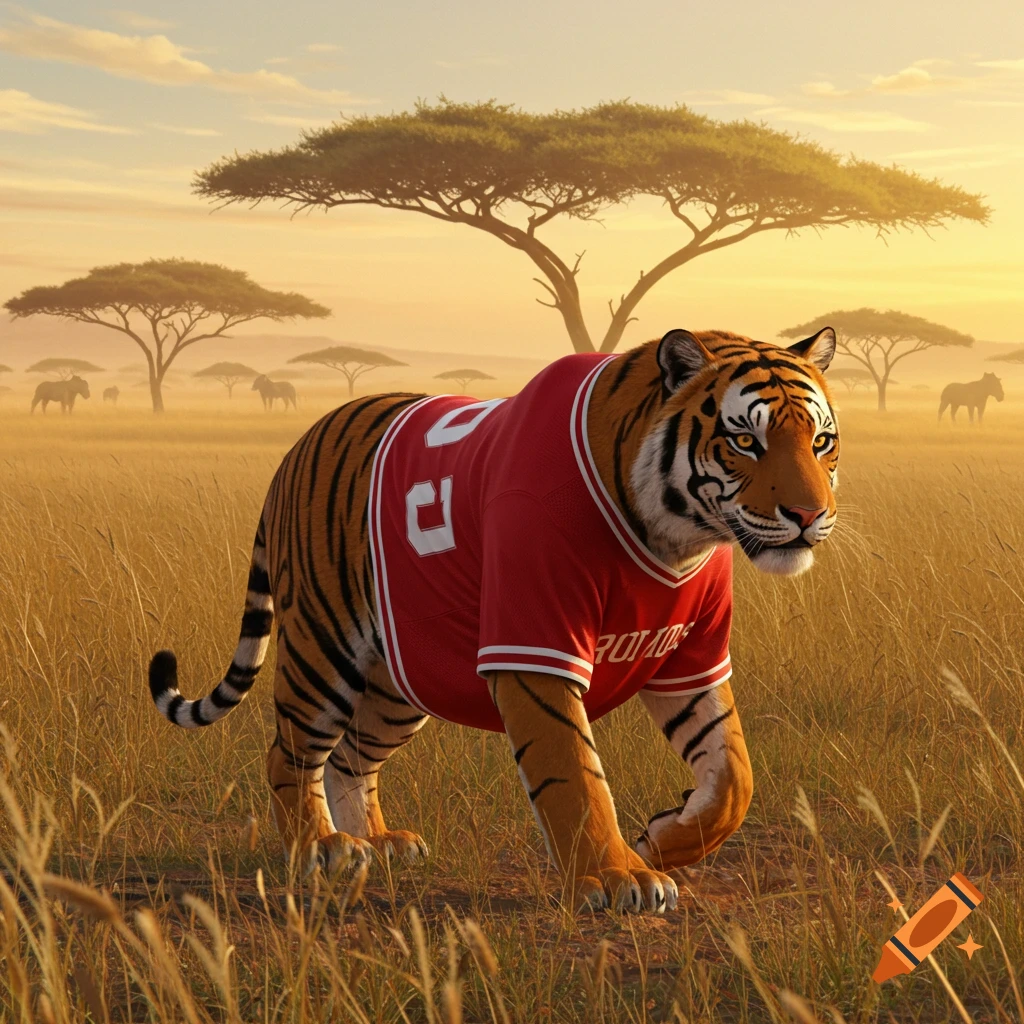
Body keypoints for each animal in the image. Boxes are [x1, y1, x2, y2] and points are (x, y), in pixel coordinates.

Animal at [148, 326, 839, 915]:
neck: (677, 536)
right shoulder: (536, 645)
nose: (810, 515)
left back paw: (381, 842)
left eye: (821, 441)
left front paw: (660, 839)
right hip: (324, 645)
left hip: (405, 678)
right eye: (744, 441)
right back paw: (322, 847)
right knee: (290, 751)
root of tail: (296, 445)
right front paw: (616, 876)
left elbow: (734, 778)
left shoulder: (691, 657)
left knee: (350, 755)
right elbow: (574, 776)